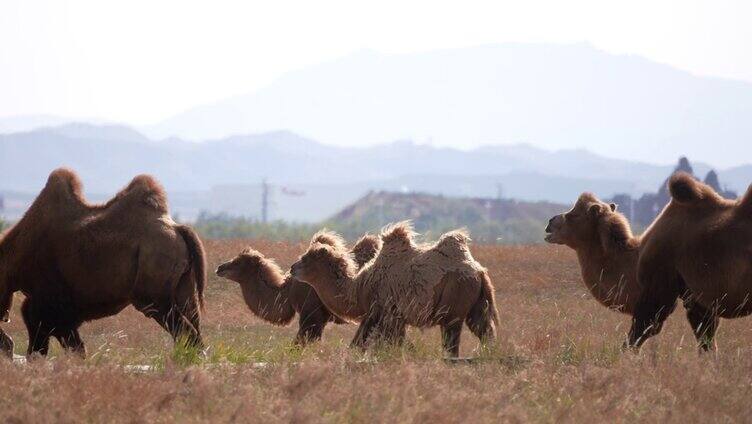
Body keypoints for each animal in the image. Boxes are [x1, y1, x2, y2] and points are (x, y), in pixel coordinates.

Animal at [0, 169, 206, 358]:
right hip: (184, 285)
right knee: (194, 324)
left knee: (184, 329)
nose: (7, 343)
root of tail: (180, 230)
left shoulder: (51, 305)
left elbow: (46, 342)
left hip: (154, 287)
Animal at [290, 222, 496, 358]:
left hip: (455, 296)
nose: (292, 268)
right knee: (484, 329)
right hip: (476, 302)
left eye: (307, 258)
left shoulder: (383, 309)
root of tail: (479, 271)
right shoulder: (391, 316)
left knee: (452, 335)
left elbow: (363, 341)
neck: (359, 290)